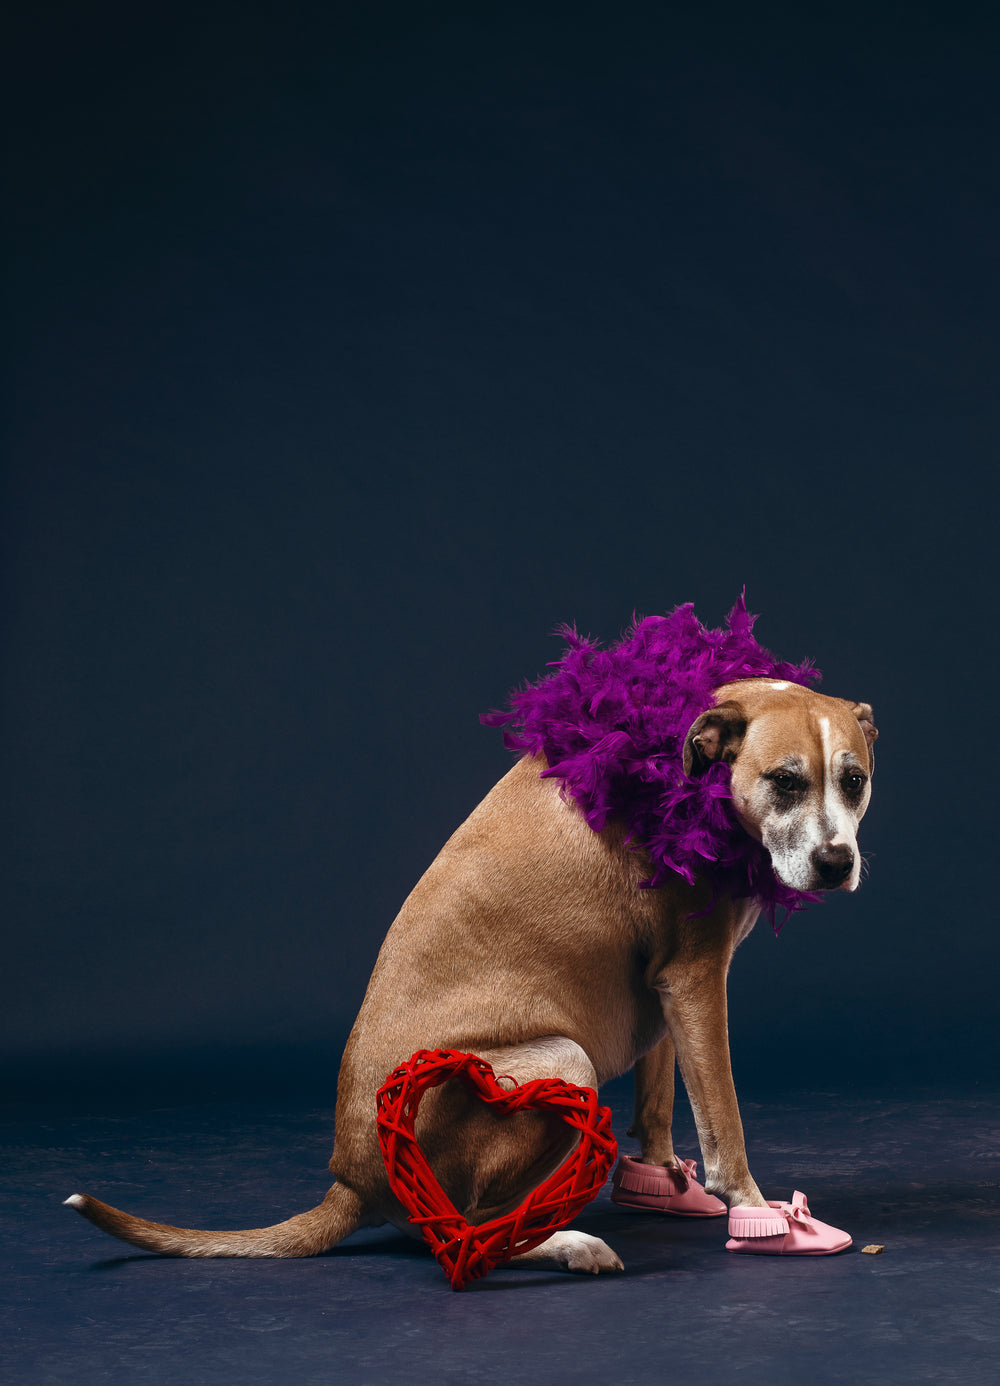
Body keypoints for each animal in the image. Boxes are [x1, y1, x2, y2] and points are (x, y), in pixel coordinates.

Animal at [66, 676, 875, 1269]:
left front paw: (663, 1183)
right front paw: (758, 1214)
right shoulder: (697, 980)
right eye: (784, 781)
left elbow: (659, 1098)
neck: (684, 769)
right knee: (462, 1231)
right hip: (562, 1061)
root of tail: (350, 1177)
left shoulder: (668, 987)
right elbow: (722, 1117)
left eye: (855, 781)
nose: (837, 863)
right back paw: (563, 1243)